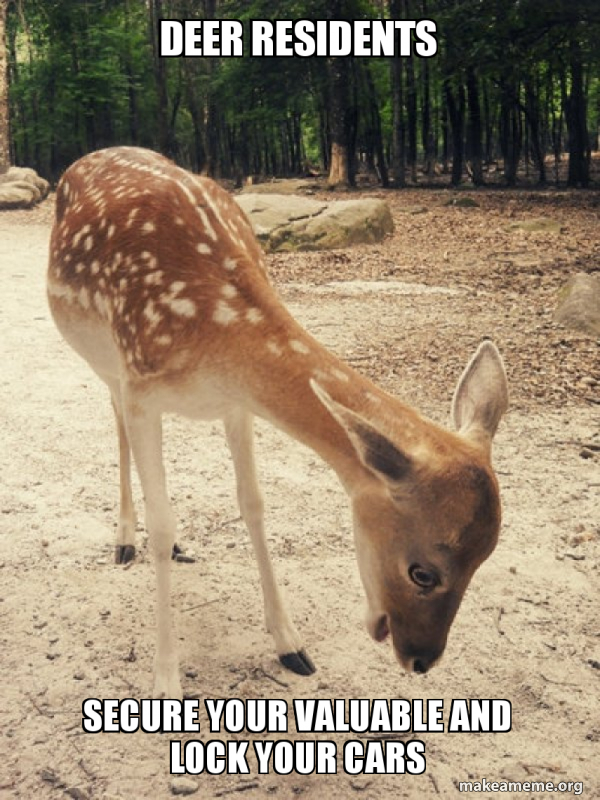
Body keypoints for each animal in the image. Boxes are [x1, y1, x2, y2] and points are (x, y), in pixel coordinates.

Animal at [47, 147, 508, 700]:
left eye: (485, 559)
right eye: (422, 572)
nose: (421, 659)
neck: (211, 334)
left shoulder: (238, 404)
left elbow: (254, 504)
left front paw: (291, 644)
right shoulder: (141, 388)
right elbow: (160, 524)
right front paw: (164, 680)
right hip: (104, 361)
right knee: (115, 421)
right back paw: (123, 539)